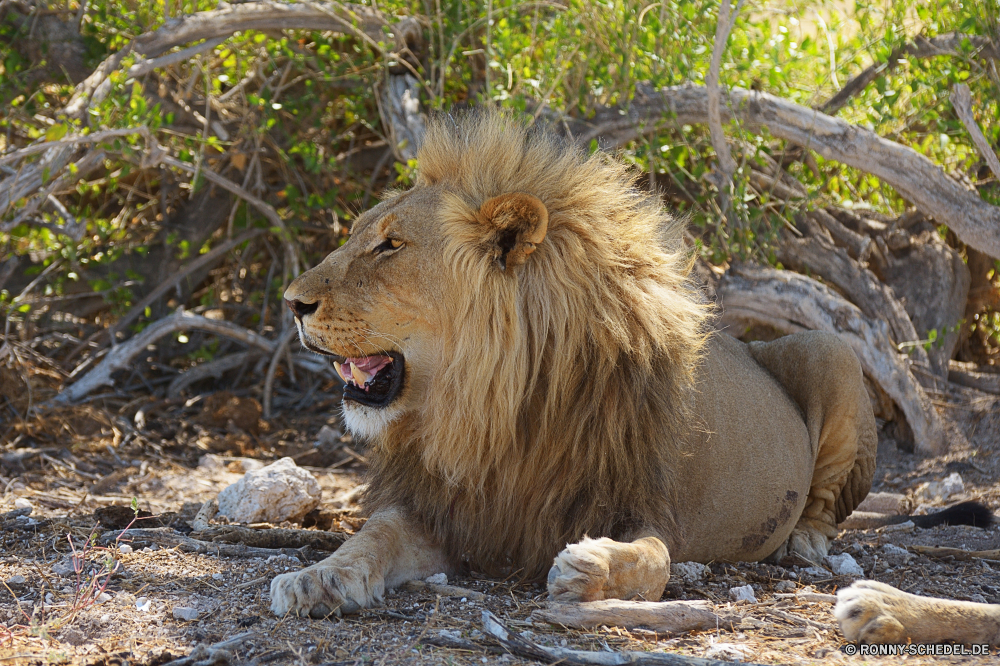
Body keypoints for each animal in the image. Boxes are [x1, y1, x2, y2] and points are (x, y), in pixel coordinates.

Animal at [272, 110, 876, 616]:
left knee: (825, 502)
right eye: (358, 236)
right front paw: (318, 577)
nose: (291, 302)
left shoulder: (648, 505)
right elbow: (375, 533)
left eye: (391, 245)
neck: (488, 410)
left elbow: (653, 560)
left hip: (832, 349)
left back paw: (803, 541)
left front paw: (589, 565)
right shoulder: (450, 510)